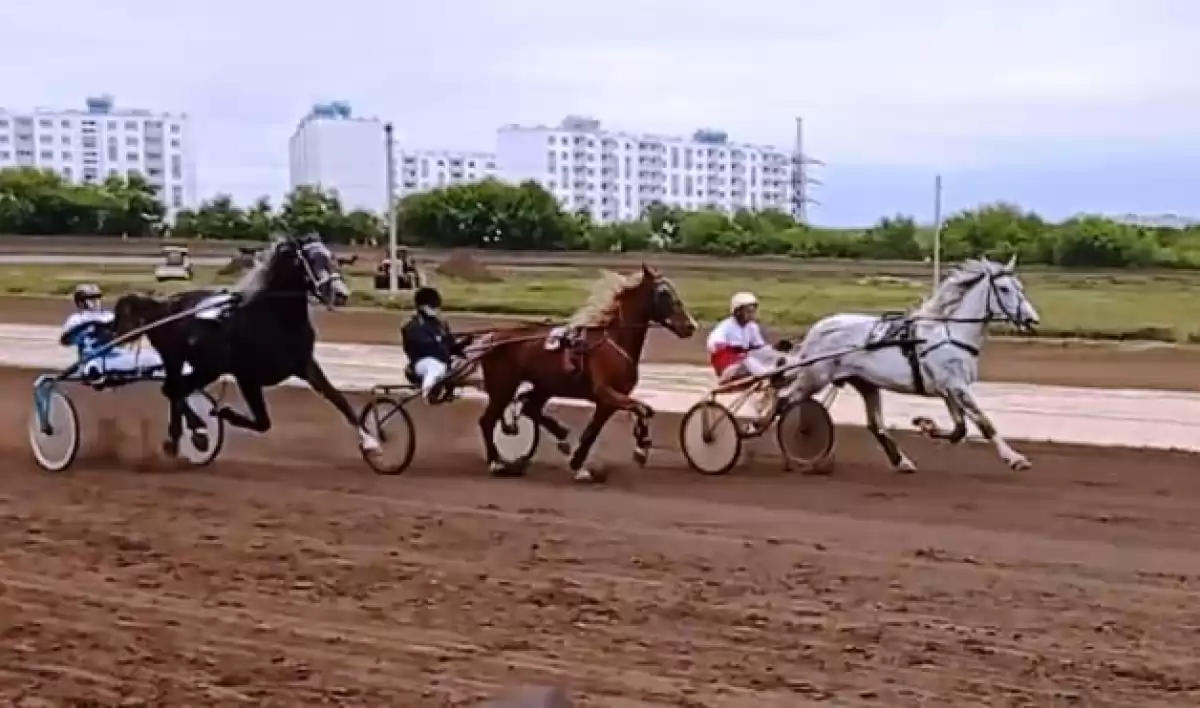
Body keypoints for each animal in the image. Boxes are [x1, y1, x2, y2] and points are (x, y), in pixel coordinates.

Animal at [111, 232, 379, 460]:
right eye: (311, 259)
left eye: (332, 259)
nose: (340, 294)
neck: (274, 319)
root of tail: (162, 306)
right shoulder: (247, 376)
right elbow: (262, 422)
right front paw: (222, 413)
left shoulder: (305, 366)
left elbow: (338, 399)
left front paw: (370, 442)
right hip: (186, 362)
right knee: (173, 390)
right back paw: (197, 431)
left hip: (202, 366)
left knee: (175, 391)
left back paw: (177, 440)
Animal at [463, 264, 700, 484]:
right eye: (663, 293)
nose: (690, 326)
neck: (614, 341)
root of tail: (492, 337)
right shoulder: (606, 392)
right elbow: (643, 409)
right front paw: (641, 447)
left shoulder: (609, 401)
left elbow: (594, 432)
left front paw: (580, 465)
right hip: (503, 387)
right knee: (488, 421)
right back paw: (496, 462)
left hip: (544, 386)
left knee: (530, 407)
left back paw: (561, 437)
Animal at [787, 258, 1041, 475]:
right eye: (1005, 289)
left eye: (1020, 287)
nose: (1032, 319)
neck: (950, 334)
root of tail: (818, 328)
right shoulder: (956, 386)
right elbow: (983, 421)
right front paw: (1014, 458)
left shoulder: (950, 389)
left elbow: (959, 430)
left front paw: (926, 425)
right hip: (814, 377)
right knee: (786, 403)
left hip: (865, 383)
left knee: (875, 424)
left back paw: (902, 462)